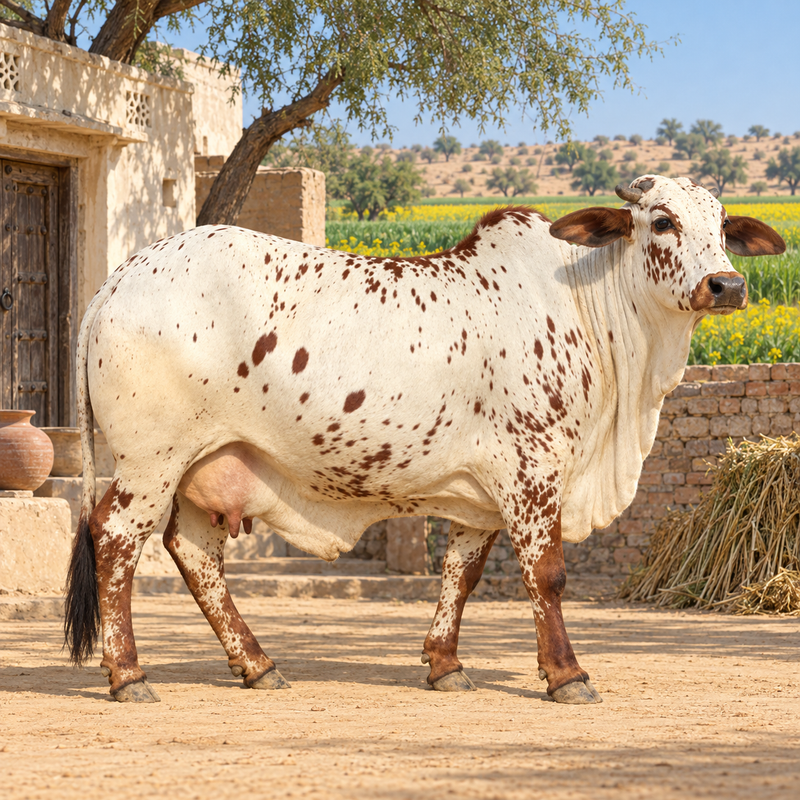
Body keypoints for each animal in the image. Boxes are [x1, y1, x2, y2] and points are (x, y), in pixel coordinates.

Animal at [64, 176, 785, 704]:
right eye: (662, 222)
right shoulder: (532, 470)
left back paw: (259, 664)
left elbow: (460, 576)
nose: (727, 284)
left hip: (206, 465)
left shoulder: (484, 493)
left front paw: (445, 664)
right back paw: (128, 675)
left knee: (194, 554)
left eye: (723, 226)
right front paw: (567, 675)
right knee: (116, 541)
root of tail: (118, 279)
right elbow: (547, 575)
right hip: (150, 462)